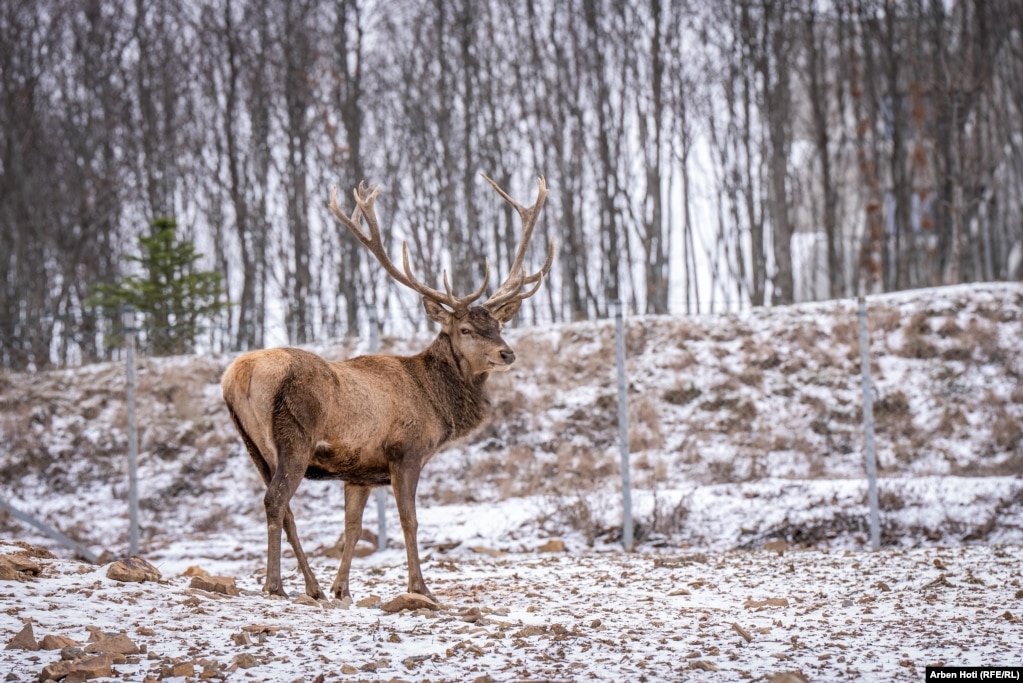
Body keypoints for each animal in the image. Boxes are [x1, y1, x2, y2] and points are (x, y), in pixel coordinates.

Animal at [217, 174, 552, 601]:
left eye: (498, 325)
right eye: (465, 329)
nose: (506, 353)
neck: (434, 402)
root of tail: (238, 375)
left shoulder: (359, 472)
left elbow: (353, 528)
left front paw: (342, 589)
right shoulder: (405, 452)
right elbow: (409, 520)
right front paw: (421, 587)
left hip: (254, 445)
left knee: (284, 506)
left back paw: (313, 587)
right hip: (295, 435)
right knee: (276, 500)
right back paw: (275, 586)